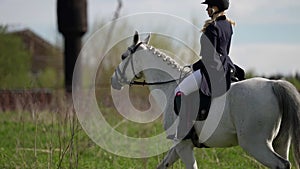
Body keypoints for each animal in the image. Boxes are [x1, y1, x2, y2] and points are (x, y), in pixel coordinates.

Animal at [110, 31, 300, 169]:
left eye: (123, 57)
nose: (113, 81)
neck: (170, 87)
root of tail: (273, 84)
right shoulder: (179, 145)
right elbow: (163, 165)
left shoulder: (183, 145)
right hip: (280, 142)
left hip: (255, 144)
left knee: (281, 164)